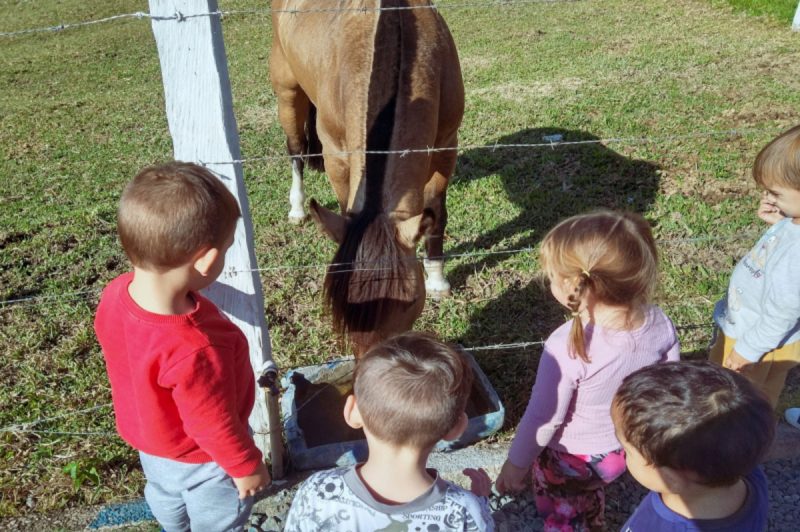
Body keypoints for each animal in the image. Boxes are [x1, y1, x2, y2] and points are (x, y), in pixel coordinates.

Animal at [272, 1, 466, 358]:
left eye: (410, 302)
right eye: (342, 306)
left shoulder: (447, 143)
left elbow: (437, 212)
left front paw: (437, 279)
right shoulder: (336, 154)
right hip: (287, 91)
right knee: (295, 150)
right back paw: (297, 208)